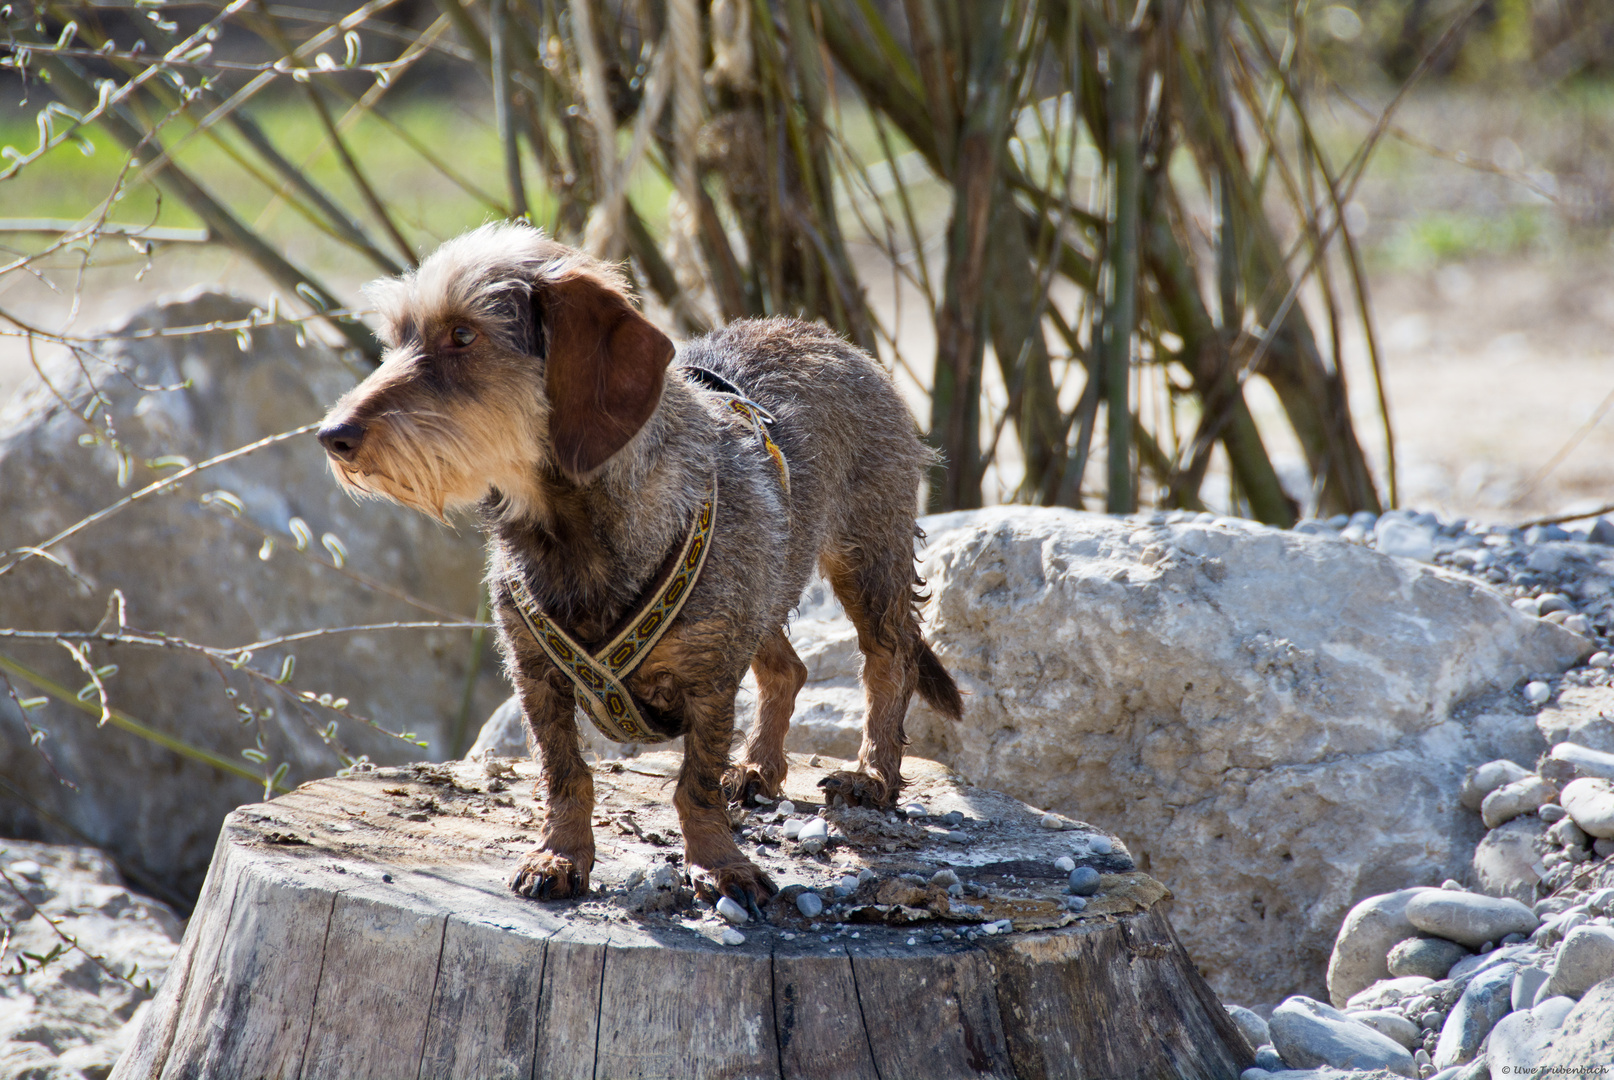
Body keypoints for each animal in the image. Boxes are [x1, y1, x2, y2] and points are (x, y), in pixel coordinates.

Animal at [321, 222, 961, 904]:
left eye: (463, 335)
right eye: (396, 338)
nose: (332, 436)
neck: (572, 531)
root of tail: (825, 336)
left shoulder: (710, 680)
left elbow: (695, 783)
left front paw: (719, 863)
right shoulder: (535, 675)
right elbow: (565, 773)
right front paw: (560, 855)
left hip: (866, 559)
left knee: (889, 660)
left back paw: (873, 776)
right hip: (766, 582)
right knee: (787, 670)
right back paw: (757, 768)